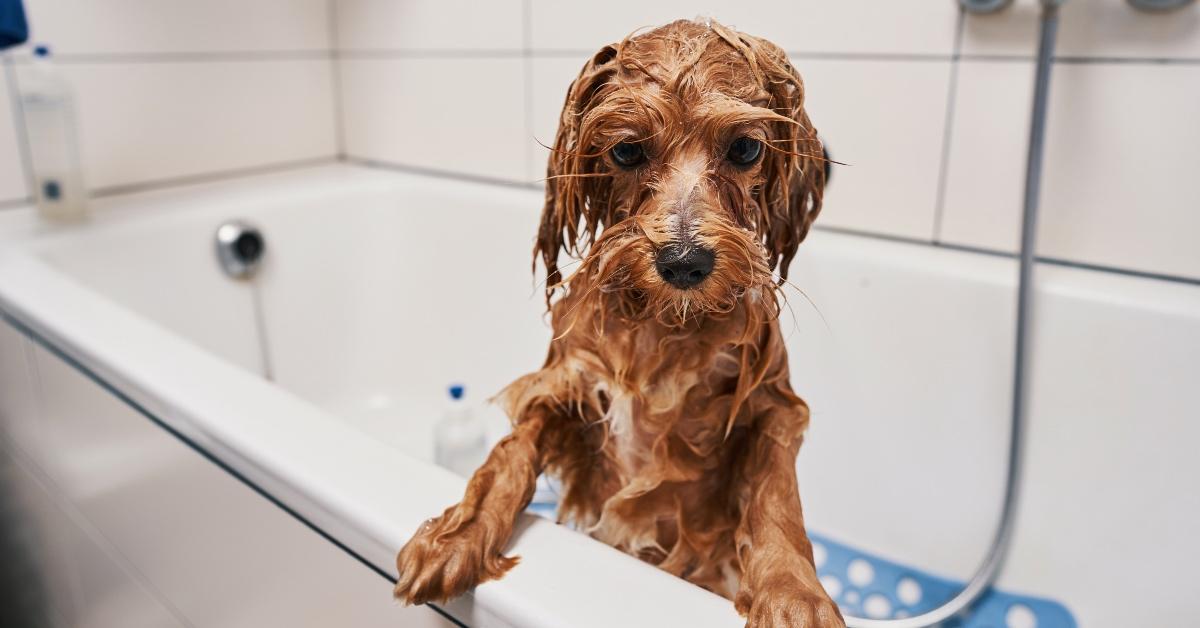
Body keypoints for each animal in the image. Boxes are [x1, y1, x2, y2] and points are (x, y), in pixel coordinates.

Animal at [396, 17, 844, 624]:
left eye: (746, 147)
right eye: (628, 151)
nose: (684, 262)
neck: (662, 323)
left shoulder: (772, 403)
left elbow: (776, 495)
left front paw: (795, 594)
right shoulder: (563, 384)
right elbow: (506, 454)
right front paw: (457, 537)